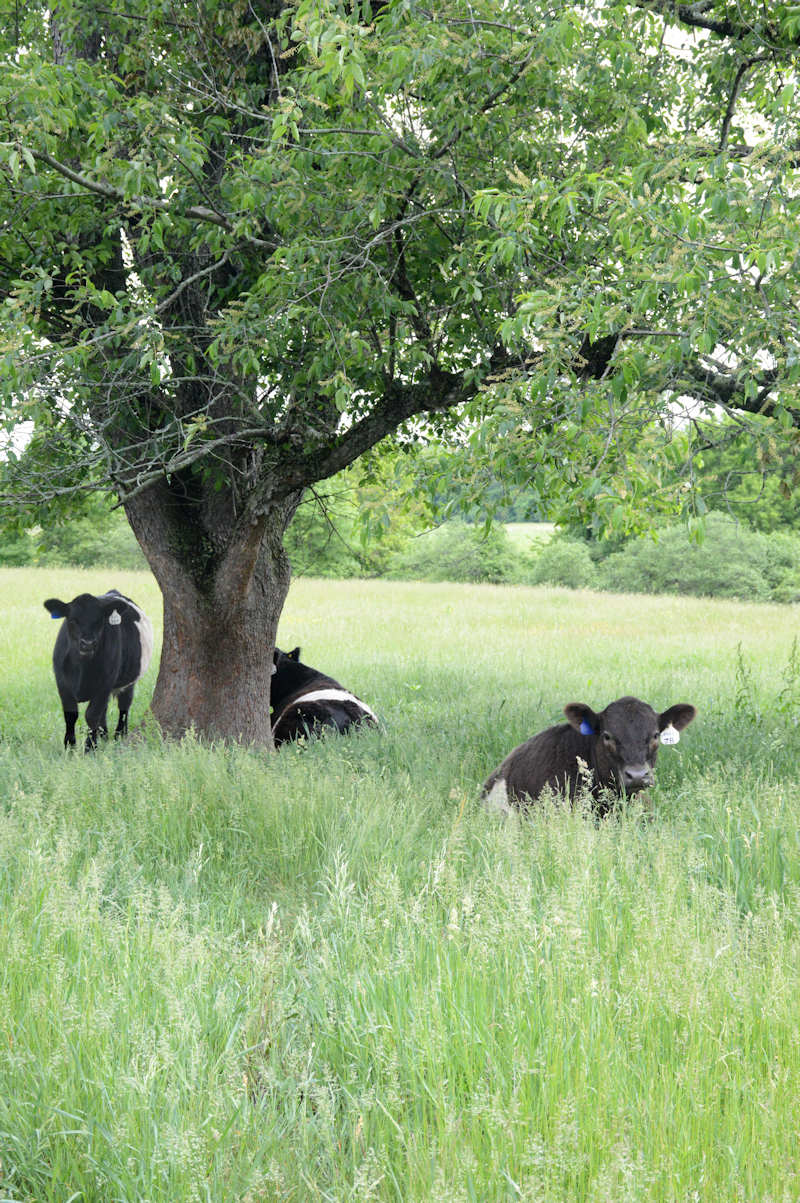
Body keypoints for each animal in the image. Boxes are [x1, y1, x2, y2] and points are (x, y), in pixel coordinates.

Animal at [44, 587, 153, 745]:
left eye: (99, 621)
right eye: (73, 620)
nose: (88, 643)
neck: (82, 668)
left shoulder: (105, 683)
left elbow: (92, 715)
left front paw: (90, 747)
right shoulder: (62, 683)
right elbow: (71, 715)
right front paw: (70, 746)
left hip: (129, 681)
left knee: (124, 706)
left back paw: (119, 735)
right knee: (106, 709)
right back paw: (104, 736)